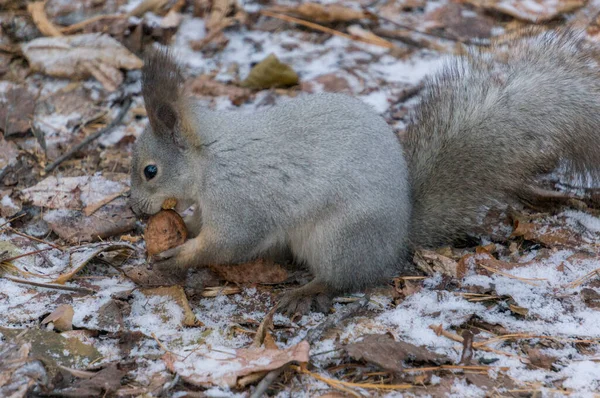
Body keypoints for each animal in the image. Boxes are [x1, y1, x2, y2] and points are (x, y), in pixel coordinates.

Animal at [130, 28, 600, 314]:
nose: (135, 210)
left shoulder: (240, 201)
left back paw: (307, 290)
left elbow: (227, 243)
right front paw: (183, 230)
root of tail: (398, 237)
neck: (210, 159)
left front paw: (180, 254)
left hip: (341, 239)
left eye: (150, 170)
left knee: (343, 278)